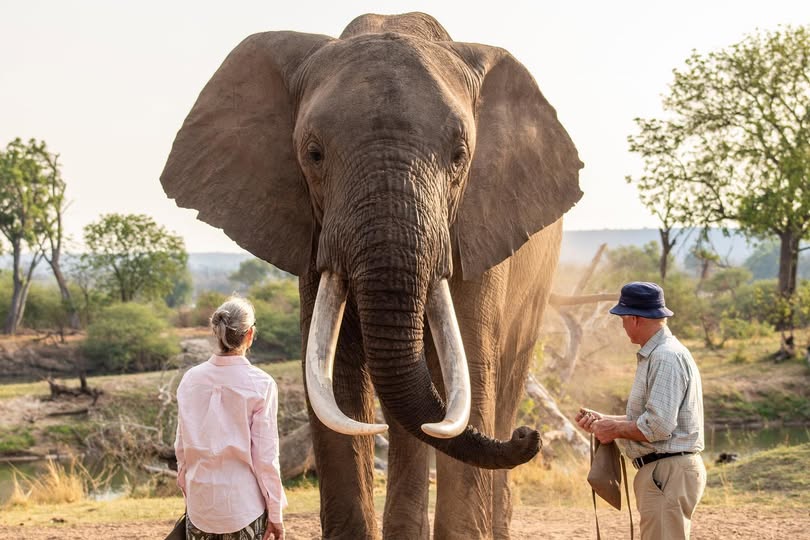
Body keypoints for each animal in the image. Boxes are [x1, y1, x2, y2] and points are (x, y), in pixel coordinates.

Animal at [160, 12, 583, 539]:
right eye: (313, 153)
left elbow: (467, 364)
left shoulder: (477, 225)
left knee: (499, 382)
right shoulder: (313, 232)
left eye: (460, 156)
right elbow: (333, 373)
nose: (533, 436)